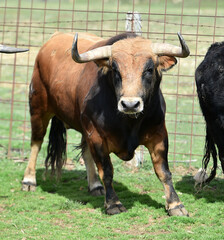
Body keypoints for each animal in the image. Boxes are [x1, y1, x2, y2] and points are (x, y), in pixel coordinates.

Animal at [21, 31, 190, 217]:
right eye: (115, 69)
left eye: (149, 69)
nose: (130, 104)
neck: (129, 123)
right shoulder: (97, 137)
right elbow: (107, 171)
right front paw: (113, 203)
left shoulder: (159, 135)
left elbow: (163, 171)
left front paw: (175, 204)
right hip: (38, 109)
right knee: (36, 143)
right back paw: (28, 180)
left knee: (85, 151)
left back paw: (95, 185)